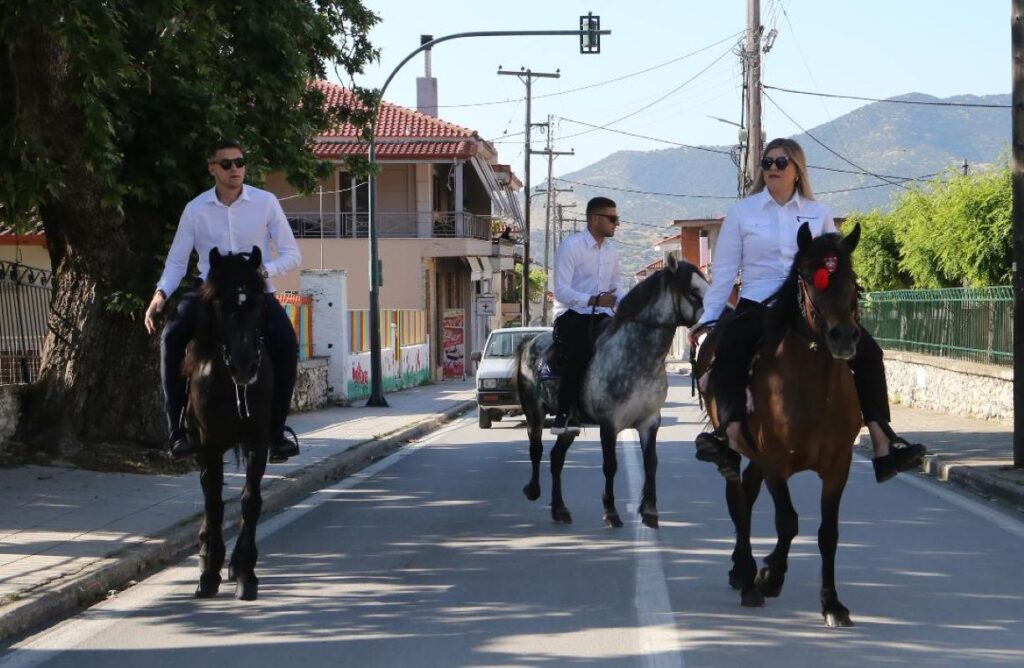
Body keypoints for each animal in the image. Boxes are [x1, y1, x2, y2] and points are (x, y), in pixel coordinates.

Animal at [183, 247, 272, 602]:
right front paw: (209, 572)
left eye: (258, 303)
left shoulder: (258, 440)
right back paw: (207, 550)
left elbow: (250, 500)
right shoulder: (208, 445)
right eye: (221, 306)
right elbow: (213, 501)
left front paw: (246, 571)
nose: (245, 366)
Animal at [516, 256, 708, 528]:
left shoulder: (650, 421)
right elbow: (610, 465)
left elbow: (651, 463)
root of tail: (528, 343)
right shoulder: (609, 424)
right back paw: (533, 490)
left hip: (572, 424)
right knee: (536, 448)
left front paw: (649, 511)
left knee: (556, 458)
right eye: (693, 290)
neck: (637, 357)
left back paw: (560, 509)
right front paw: (611, 512)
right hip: (534, 412)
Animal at [696, 223, 864, 627]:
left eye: (852, 279)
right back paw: (747, 577)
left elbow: (828, 533)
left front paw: (832, 603)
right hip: (737, 449)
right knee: (738, 501)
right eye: (807, 277)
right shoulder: (776, 462)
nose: (844, 337)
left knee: (746, 494)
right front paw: (770, 576)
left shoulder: (839, 466)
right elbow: (788, 521)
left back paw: (742, 570)